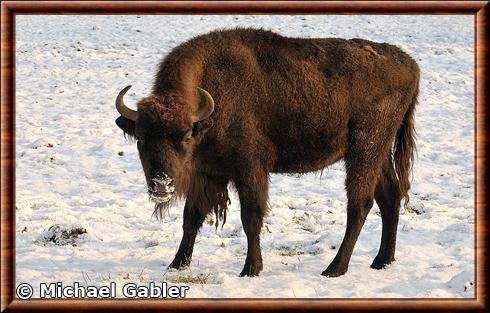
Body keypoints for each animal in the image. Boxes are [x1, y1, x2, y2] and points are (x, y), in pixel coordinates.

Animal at [114, 26, 418, 276]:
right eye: (141, 138)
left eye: (187, 136)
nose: (161, 184)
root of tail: (410, 65)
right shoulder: (208, 173)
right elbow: (192, 218)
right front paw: (177, 264)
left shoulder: (250, 171)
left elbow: (251, 218)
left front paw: (251, 269)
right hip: (379, 154)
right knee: (390, 196)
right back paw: (382, 260)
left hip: (363, 151)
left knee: (359, 204)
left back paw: (335, 269)